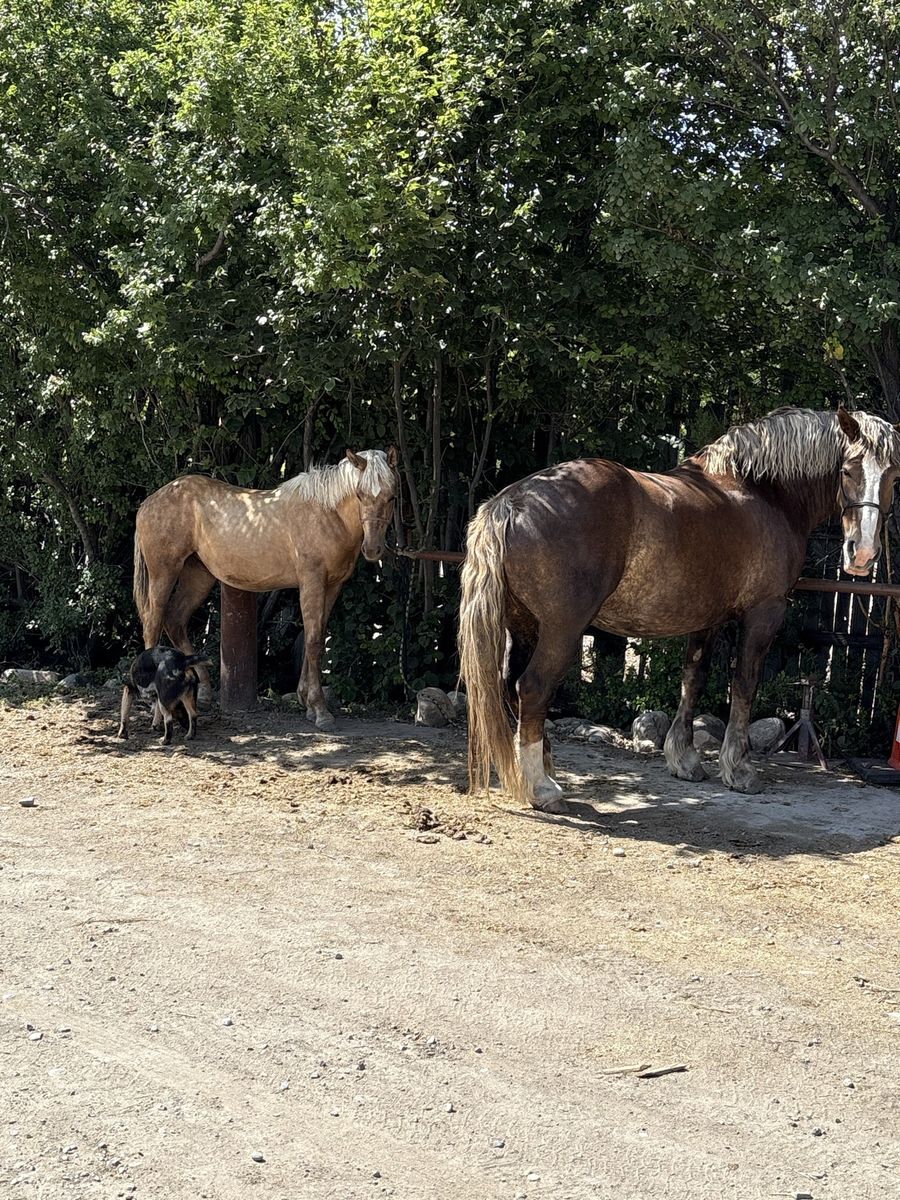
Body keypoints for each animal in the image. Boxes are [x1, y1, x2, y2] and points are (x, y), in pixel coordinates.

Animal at [133, 448, 398, 727]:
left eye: (391, 497)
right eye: (360, 494)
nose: (373, 549)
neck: (327, 515)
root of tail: (148, 503)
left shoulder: (333, 586)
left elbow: (315, 637)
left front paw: (306, 701)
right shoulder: (312, 581)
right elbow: (314, 640)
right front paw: (319, 710)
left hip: (198, 576)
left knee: (175, 620)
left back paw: (203, 692)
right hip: (164, 574)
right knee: (153, 623)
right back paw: (157, 709)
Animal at [459, 407, 900, 810]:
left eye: (893, 475)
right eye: (848, 470)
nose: (862, 554)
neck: (763, 492)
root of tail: (512, 502)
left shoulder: (706, 619)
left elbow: (693, 680)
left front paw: (685, 760)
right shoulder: (764, 613)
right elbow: (744, 684)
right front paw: (739, 769)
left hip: (524, 626)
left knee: (512, 689)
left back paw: (542, 771)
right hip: (561, 631)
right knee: (533, 688)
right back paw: (541, 788)